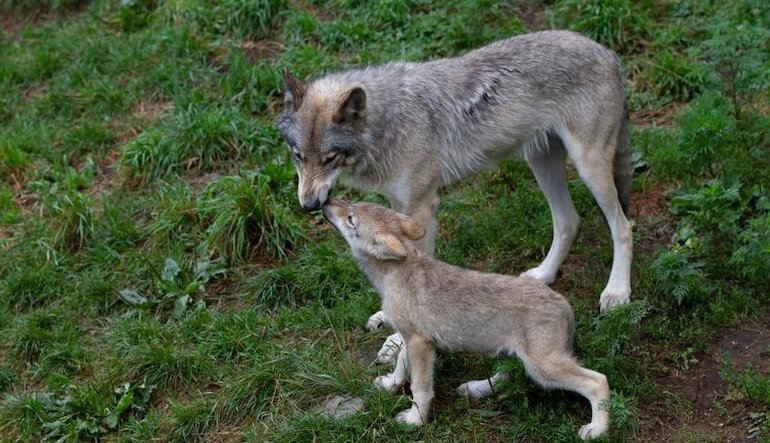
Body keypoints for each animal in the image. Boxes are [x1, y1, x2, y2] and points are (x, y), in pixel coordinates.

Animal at [276, 30, 632, 350]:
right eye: (298, 156)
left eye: (329, 158)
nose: (309, 205)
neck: (388, 125)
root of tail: (609, 53)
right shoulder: (398, 205)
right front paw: (387, 318)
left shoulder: (421, 208)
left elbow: (413, 272)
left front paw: (397, 341)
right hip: (540, 162)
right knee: (569, 220)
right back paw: (543, 275)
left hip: (589, 166)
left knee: (623, 227)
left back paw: (617, 292)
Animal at [323, 198, 611, 440]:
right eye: (350, 204)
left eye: (350, 218)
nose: (325, 202)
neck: (395, 274)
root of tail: (563, 302)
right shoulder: (410, 338)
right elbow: (401, 367)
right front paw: (390, 385)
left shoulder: (420, 344)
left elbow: (420, 389)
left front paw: (415, 421)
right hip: (516, 355)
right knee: (508, 376)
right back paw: (474, 389)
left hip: (542, 367)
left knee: (598, 381)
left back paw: (597, 429)